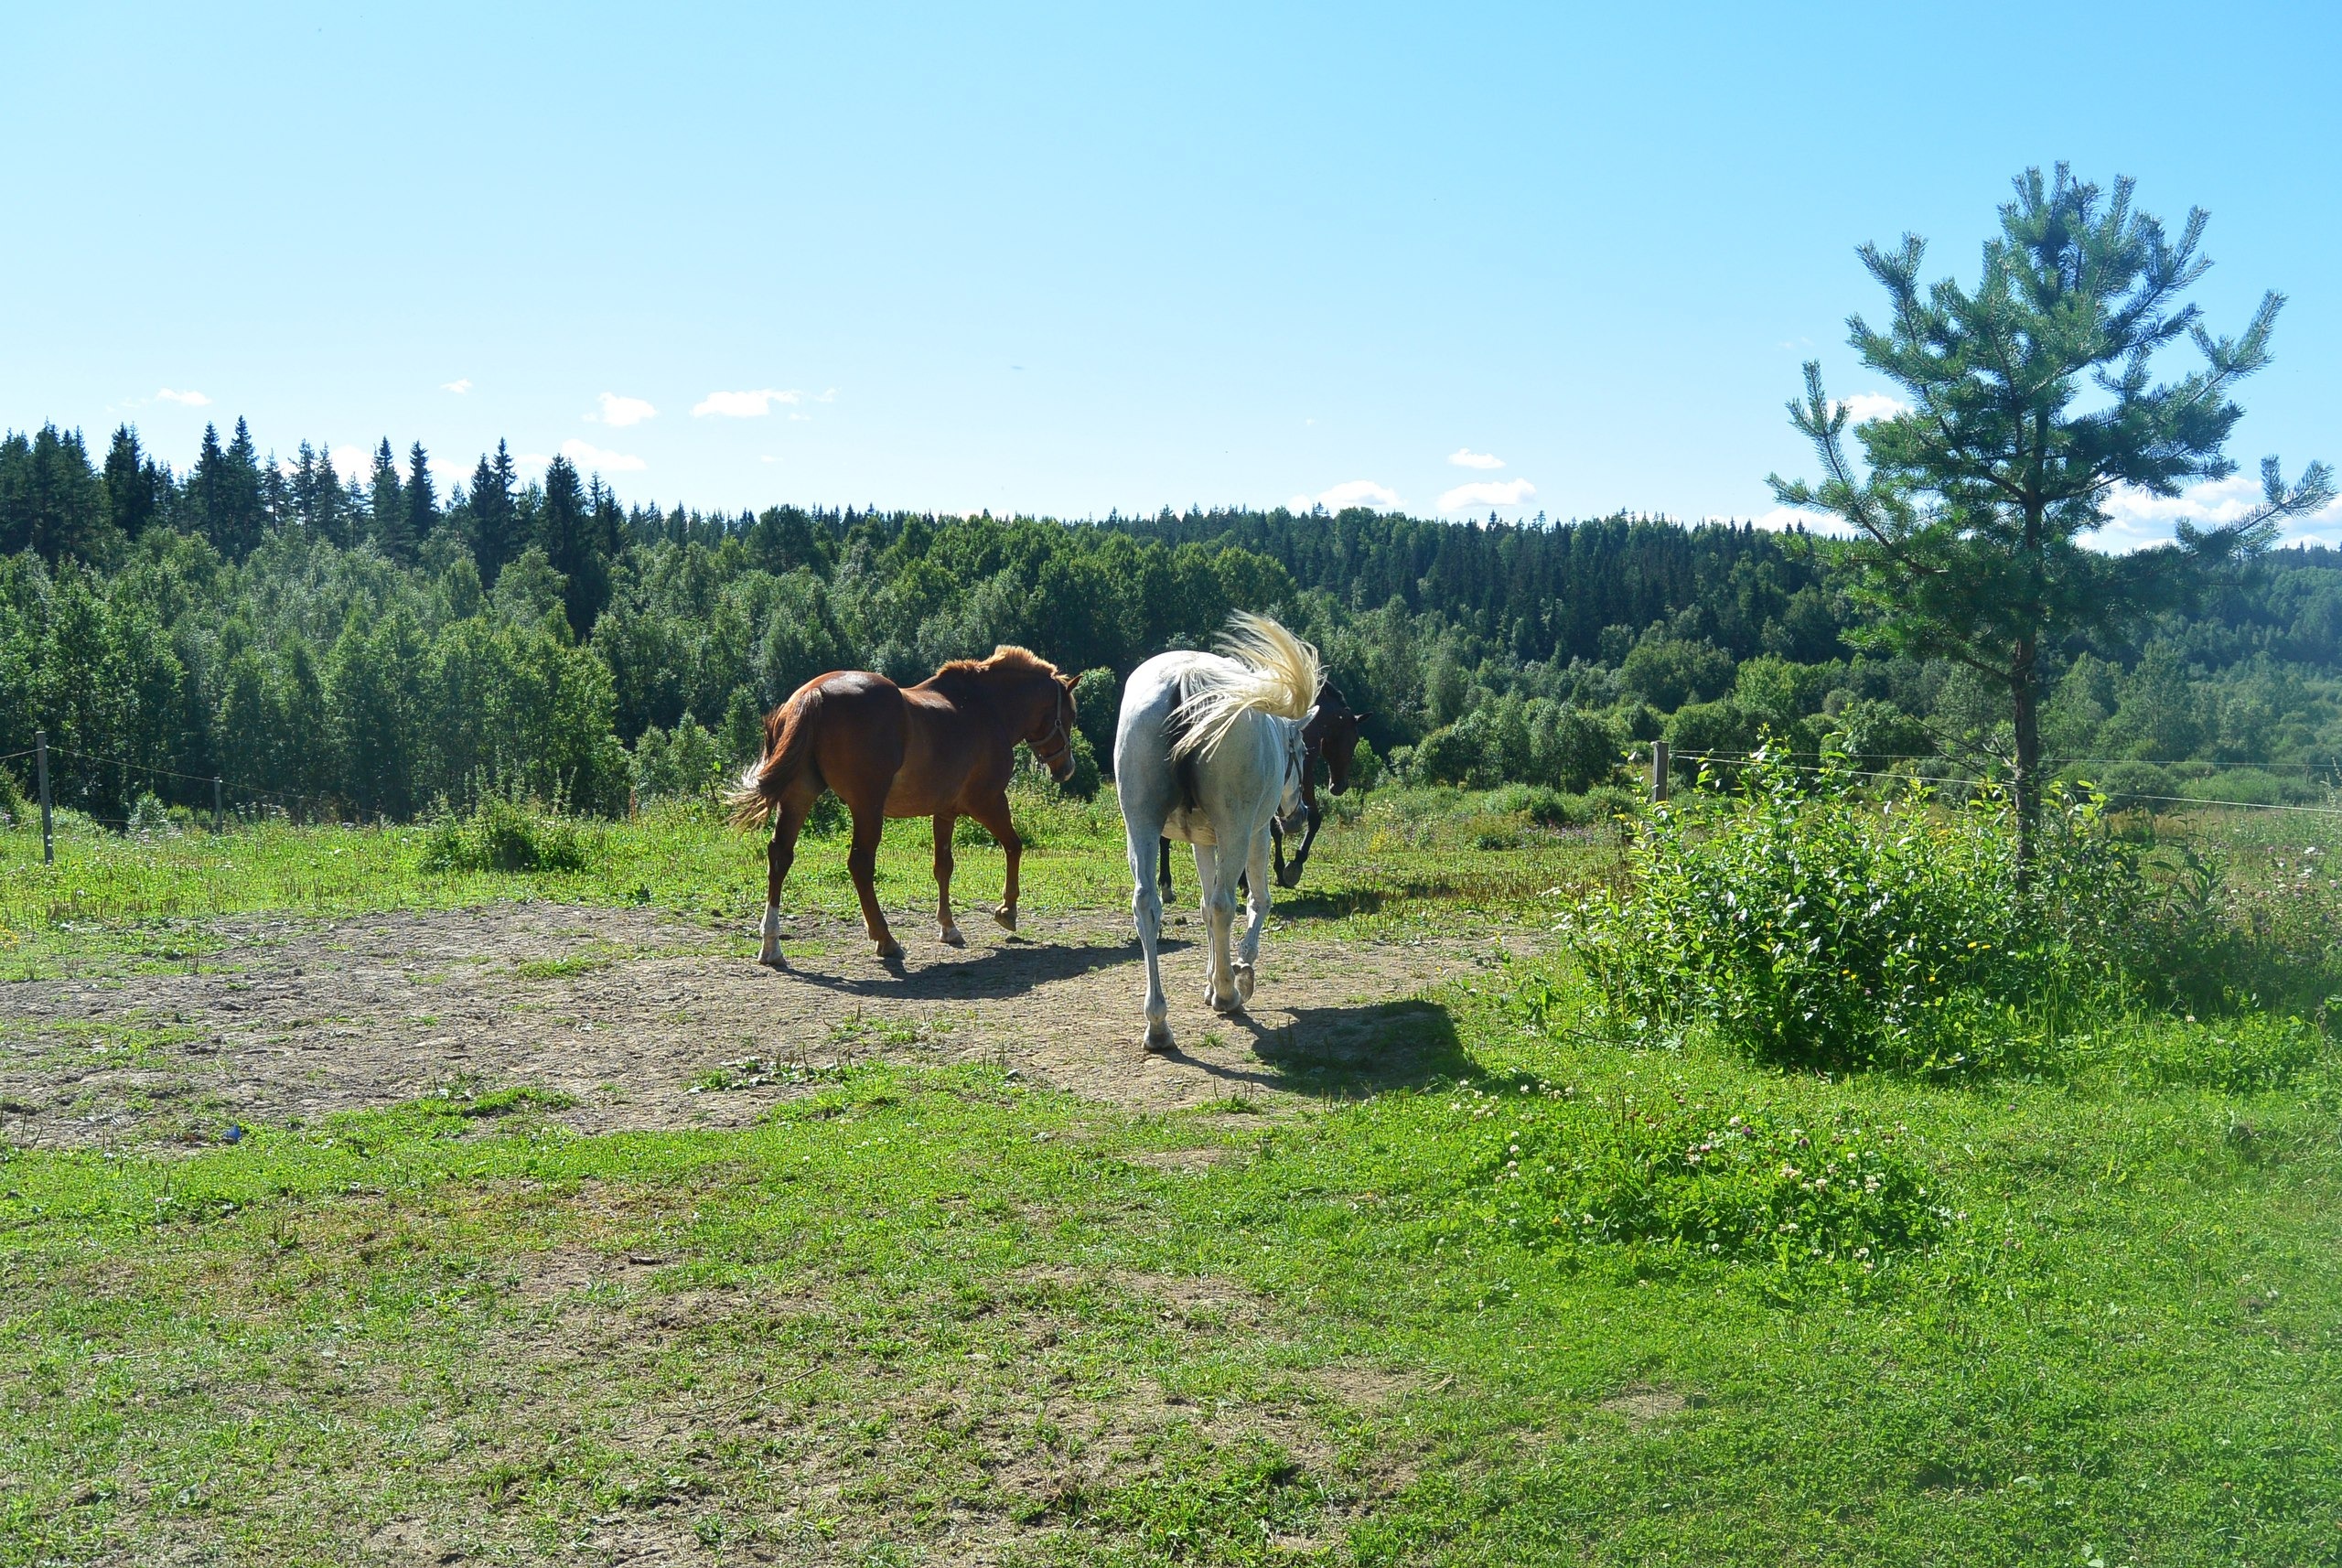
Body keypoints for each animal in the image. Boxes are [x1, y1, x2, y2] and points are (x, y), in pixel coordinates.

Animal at [726, 647, 1078, 966]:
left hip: (798, 796)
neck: (985, 707)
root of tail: (814, 693)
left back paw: (771, 945)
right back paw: (885, 939)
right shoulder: (988, 800)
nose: (1067, 769)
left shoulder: (944, 811)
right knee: (860, 864)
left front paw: (949, 928)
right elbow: (1014, 846)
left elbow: (943, 866)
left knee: (780, 856)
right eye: (1070, 717)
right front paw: (1008, 910)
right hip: (866, 806)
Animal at [1115, 613, 1319, 1053]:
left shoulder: (1202, 843)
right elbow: (1255, 902)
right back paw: (1229, 995)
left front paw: (1212, 980)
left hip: (1140, 826)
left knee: (1147, 905)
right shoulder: (1254, 836)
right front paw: (1240, 970)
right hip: (1237, 831)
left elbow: (1205, 909)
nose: (1297, 817)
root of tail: (1185, 678)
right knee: (1227, 903)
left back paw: (1158, 1025)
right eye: (1301, 752)